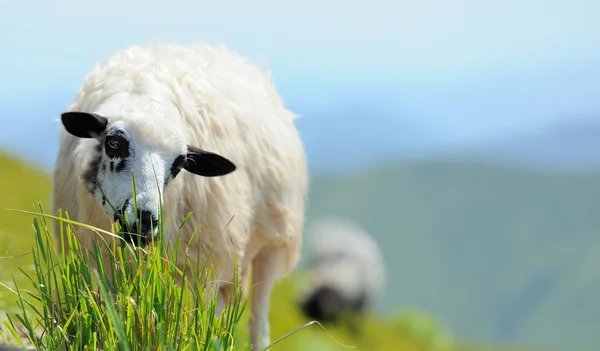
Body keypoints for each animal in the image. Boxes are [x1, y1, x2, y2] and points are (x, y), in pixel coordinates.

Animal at [51, 42, 310, 351]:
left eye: (179, 165)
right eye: (113, 143)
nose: (145, 220)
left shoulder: (209, 261)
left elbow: (203, 324)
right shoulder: (100, 259)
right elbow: (115, 315)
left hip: (271, 243)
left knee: (256, 320)